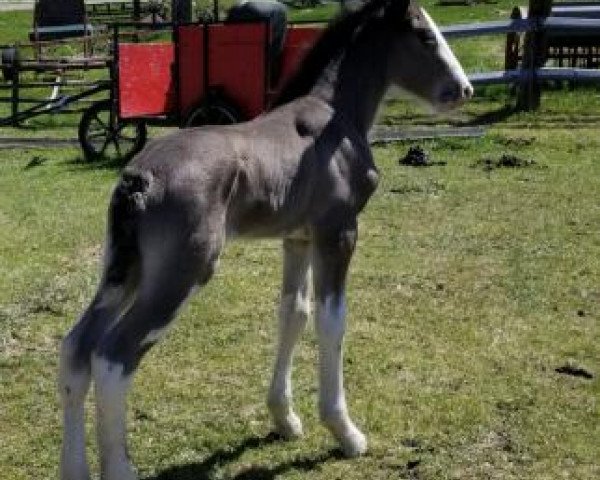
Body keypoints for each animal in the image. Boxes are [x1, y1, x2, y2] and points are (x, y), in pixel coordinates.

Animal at [61, 1, 474, 478]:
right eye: (425, 36)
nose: (463, 89)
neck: (333, 116)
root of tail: (138, 178)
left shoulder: (297, 239)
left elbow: (292, 313)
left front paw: (285, 419)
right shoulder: (338, 232)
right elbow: (331, 320)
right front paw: (345, 432)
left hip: (123, 268)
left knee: (76, 349)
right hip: (183, 271)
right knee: (113, 359)